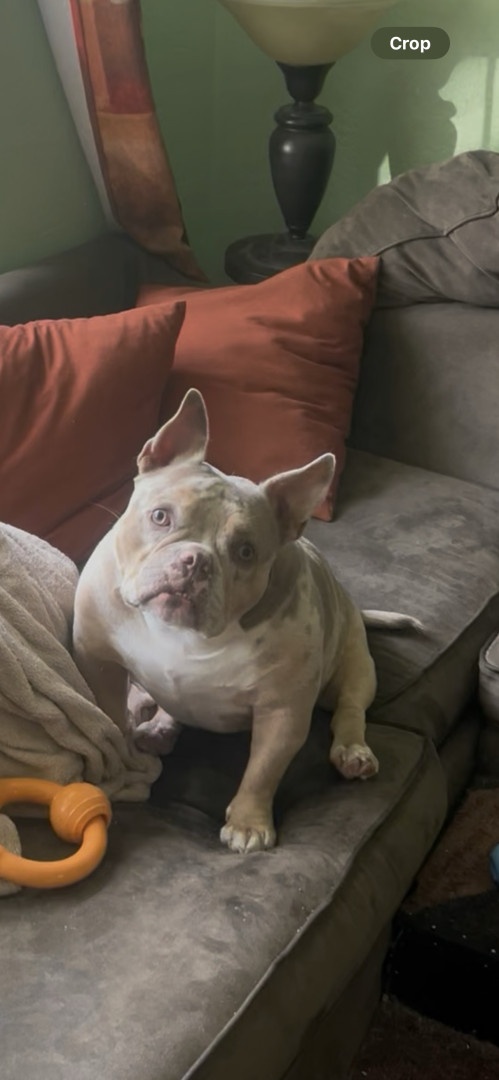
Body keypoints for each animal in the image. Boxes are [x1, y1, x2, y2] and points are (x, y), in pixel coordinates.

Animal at [73, 389, 421, 853]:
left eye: (245, 551)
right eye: (161, 516)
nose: (196, 560)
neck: (183, 635)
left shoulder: (283, 712)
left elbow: (262, 771)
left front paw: (248, 825)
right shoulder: (99, 662)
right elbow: (111, 715)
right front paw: (122, 761)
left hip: (356, 665)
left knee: (351, 708)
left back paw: (353, 752)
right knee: (169, 707)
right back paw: (159, 729)